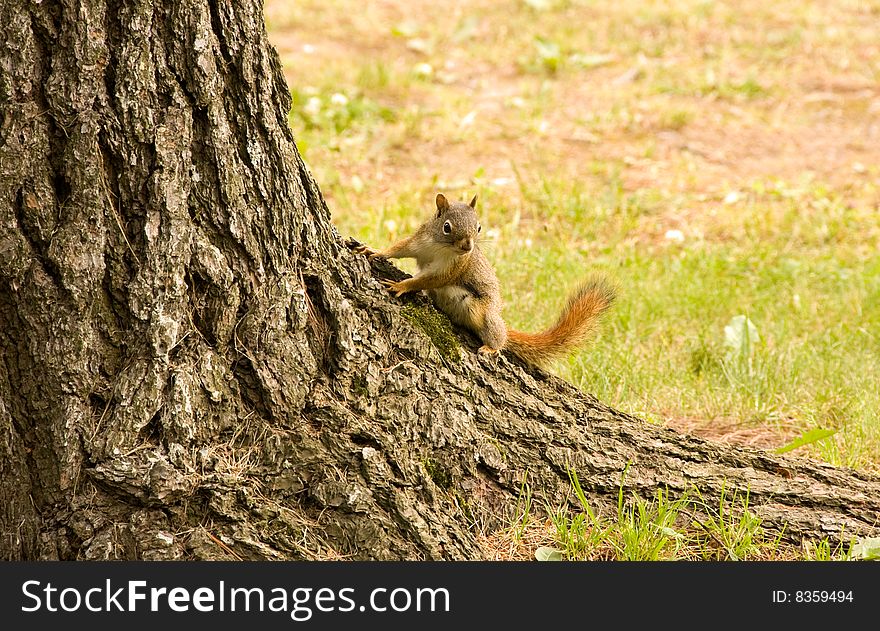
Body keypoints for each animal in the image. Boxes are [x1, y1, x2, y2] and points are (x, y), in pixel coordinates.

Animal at [354, 195, 616, 368]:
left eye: (479, 227)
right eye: (447, 227)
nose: (468, 246)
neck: (441, 247)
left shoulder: (454, 267)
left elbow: (430, 279)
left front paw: (401, 286)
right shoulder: (419, 241)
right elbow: (399, 248)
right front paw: (375, 251)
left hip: (488, 314)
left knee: (498, 335)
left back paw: (492, 347)